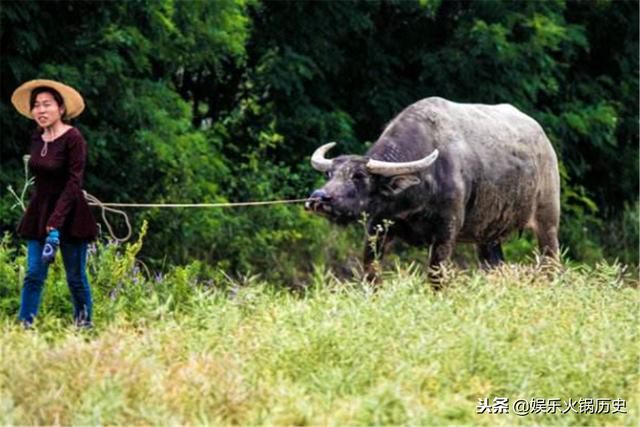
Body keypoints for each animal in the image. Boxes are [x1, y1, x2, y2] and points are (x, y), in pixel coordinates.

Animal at [304, 97, 560, 280]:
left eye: (358, 176)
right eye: (329, 174)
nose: (318, 198)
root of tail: (545, 144)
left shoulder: (446, 232)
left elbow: (435, 277)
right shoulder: (377, 228)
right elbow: (371, 273)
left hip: (547, 221)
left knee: (551, 262)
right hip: (487, 235)